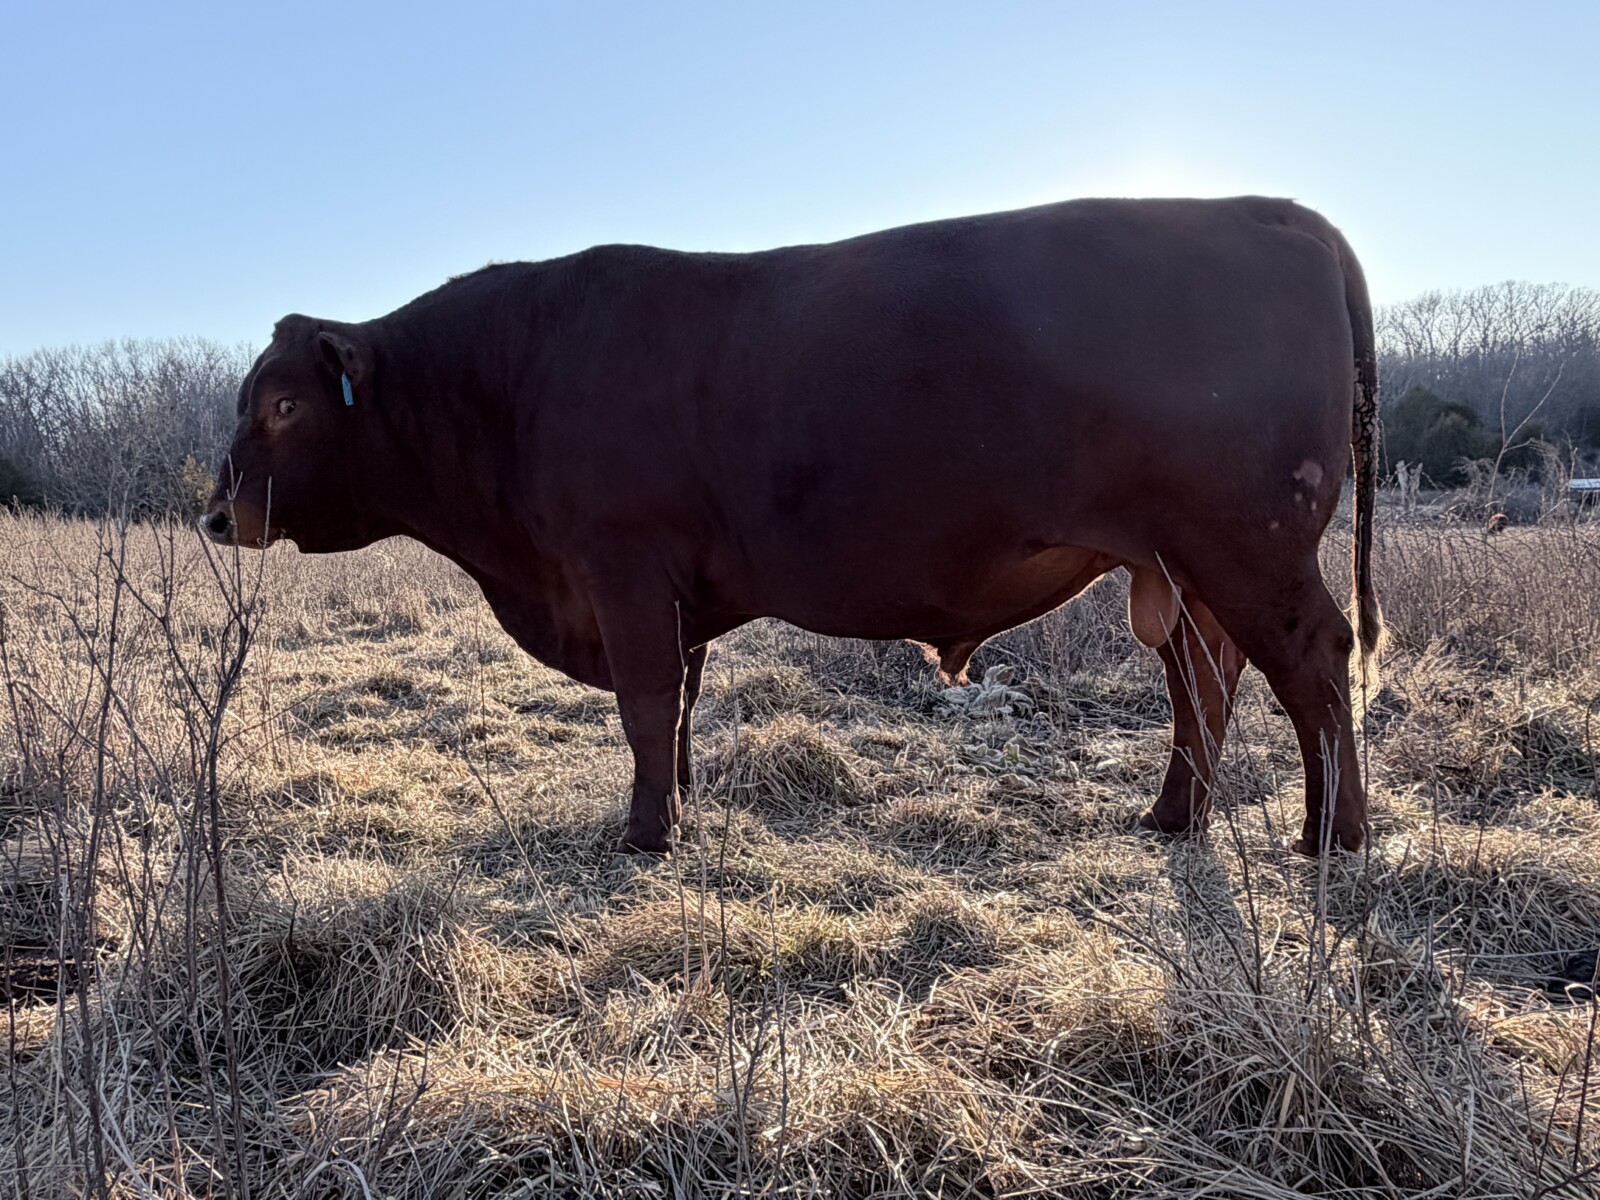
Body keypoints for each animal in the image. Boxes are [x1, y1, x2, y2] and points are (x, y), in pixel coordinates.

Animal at [204, 196, 1381, 857]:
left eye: (285, 405)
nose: (217, 512)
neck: (516, 376)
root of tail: (1273, 207)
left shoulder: (624, 570)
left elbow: (644, 702)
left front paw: (646, 837)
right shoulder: (672, 591)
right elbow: (679, 707)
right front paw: (678, 806)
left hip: (1249, 545)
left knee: (1312, 667)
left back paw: (1333, 837)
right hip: (1182, 568)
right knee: (1206, 681)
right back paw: (1174, 817)